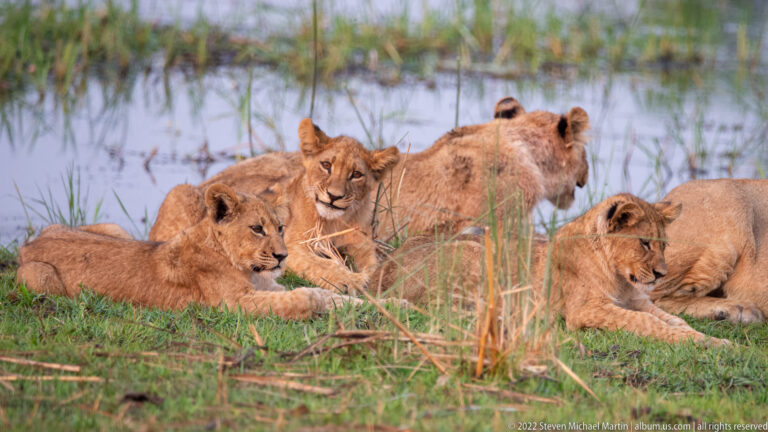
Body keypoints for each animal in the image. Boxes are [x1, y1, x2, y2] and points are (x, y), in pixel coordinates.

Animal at [16, 183, 360, 320]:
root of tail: (27, 244)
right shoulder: (231, 304)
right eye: (257, 229)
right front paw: (315, 301)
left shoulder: (264, 286)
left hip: (115, 229)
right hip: (38, 278)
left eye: (280, 228)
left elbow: (330, 294)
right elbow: (301, 296)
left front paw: (369, 304)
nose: (282, 257)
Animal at [150, 119, 400, 293]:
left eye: (356, 174)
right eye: (326, 165)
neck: (335, 222)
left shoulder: (364, 247)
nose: (333, 196)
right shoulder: (292, 246)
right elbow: (319, 264)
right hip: (180, 192)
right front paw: (349, 280)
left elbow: (374, 266)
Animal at [372, 194, 729, 345]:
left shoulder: (638, 300)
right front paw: (700, 342)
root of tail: (382, 268)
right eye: (644, 243)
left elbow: (673, 320)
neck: (620, 277)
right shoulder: (585, 311)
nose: (660, 274)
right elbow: (644, 323)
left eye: (664, 244)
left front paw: (711, 340)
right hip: (478, 252)